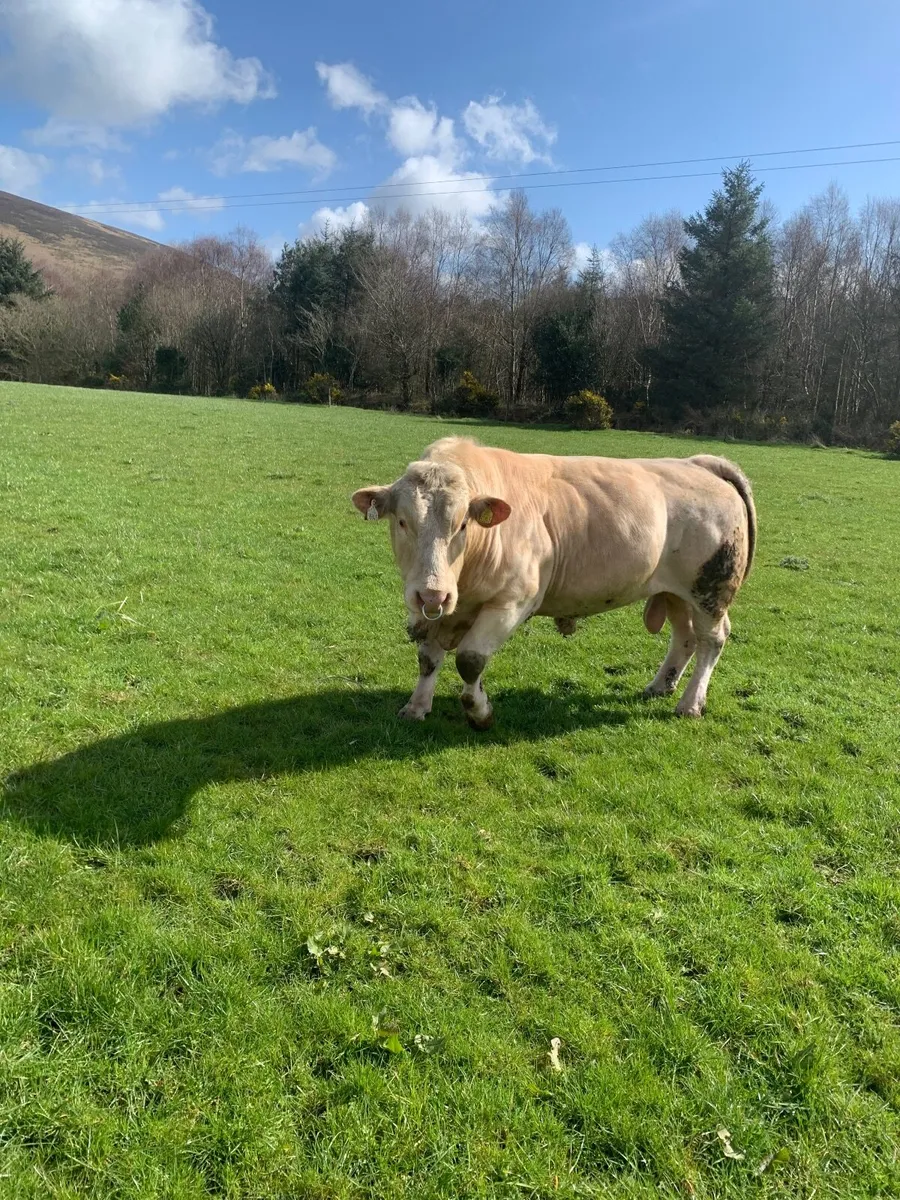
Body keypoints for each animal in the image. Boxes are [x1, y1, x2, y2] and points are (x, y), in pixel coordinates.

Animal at [351, 437, 756, 729]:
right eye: (402, 521)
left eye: (462, 524)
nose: (432, 592)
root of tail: (697, 463)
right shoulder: (439, 610)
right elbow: (428, 659)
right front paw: (417, 706)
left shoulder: (513, 601)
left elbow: (469, 660)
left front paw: (480, 711)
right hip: (675, 592)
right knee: (684, 636)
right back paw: (661, 685)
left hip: (710, 588)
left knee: (712, 639)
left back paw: (690, 703)